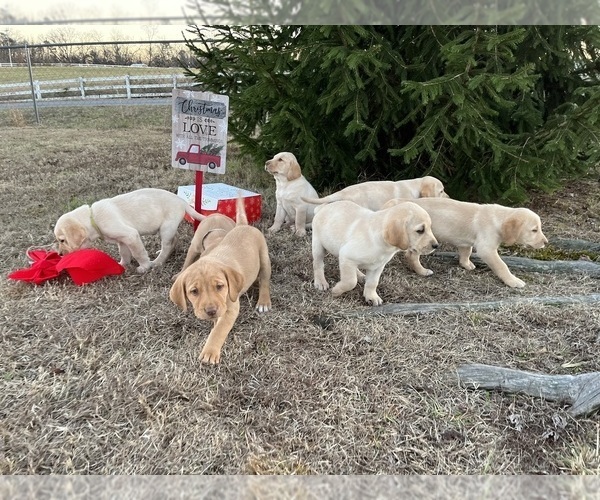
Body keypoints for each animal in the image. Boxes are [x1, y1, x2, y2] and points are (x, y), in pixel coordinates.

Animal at [56, 188, 206, 274]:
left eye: (62, 240)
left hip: (166, 227)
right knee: (174, 239)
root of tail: (182, 201)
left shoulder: (131, 235)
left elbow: (138, 253)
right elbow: (124, 253)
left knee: (168, 244)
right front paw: (123, 264)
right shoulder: (122, 240)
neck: (92, 217)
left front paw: (144, 267)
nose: (60, 255)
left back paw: (157, 262)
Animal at [169, 194, 272, 364]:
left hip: (264, 258)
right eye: (194, 291)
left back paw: (264, 302)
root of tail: (243, 225)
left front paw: (210, 352)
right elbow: (217, 324)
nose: (211, 311)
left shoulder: (231, 308)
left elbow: (219, 330)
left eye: (220, 286)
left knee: (264, 281)